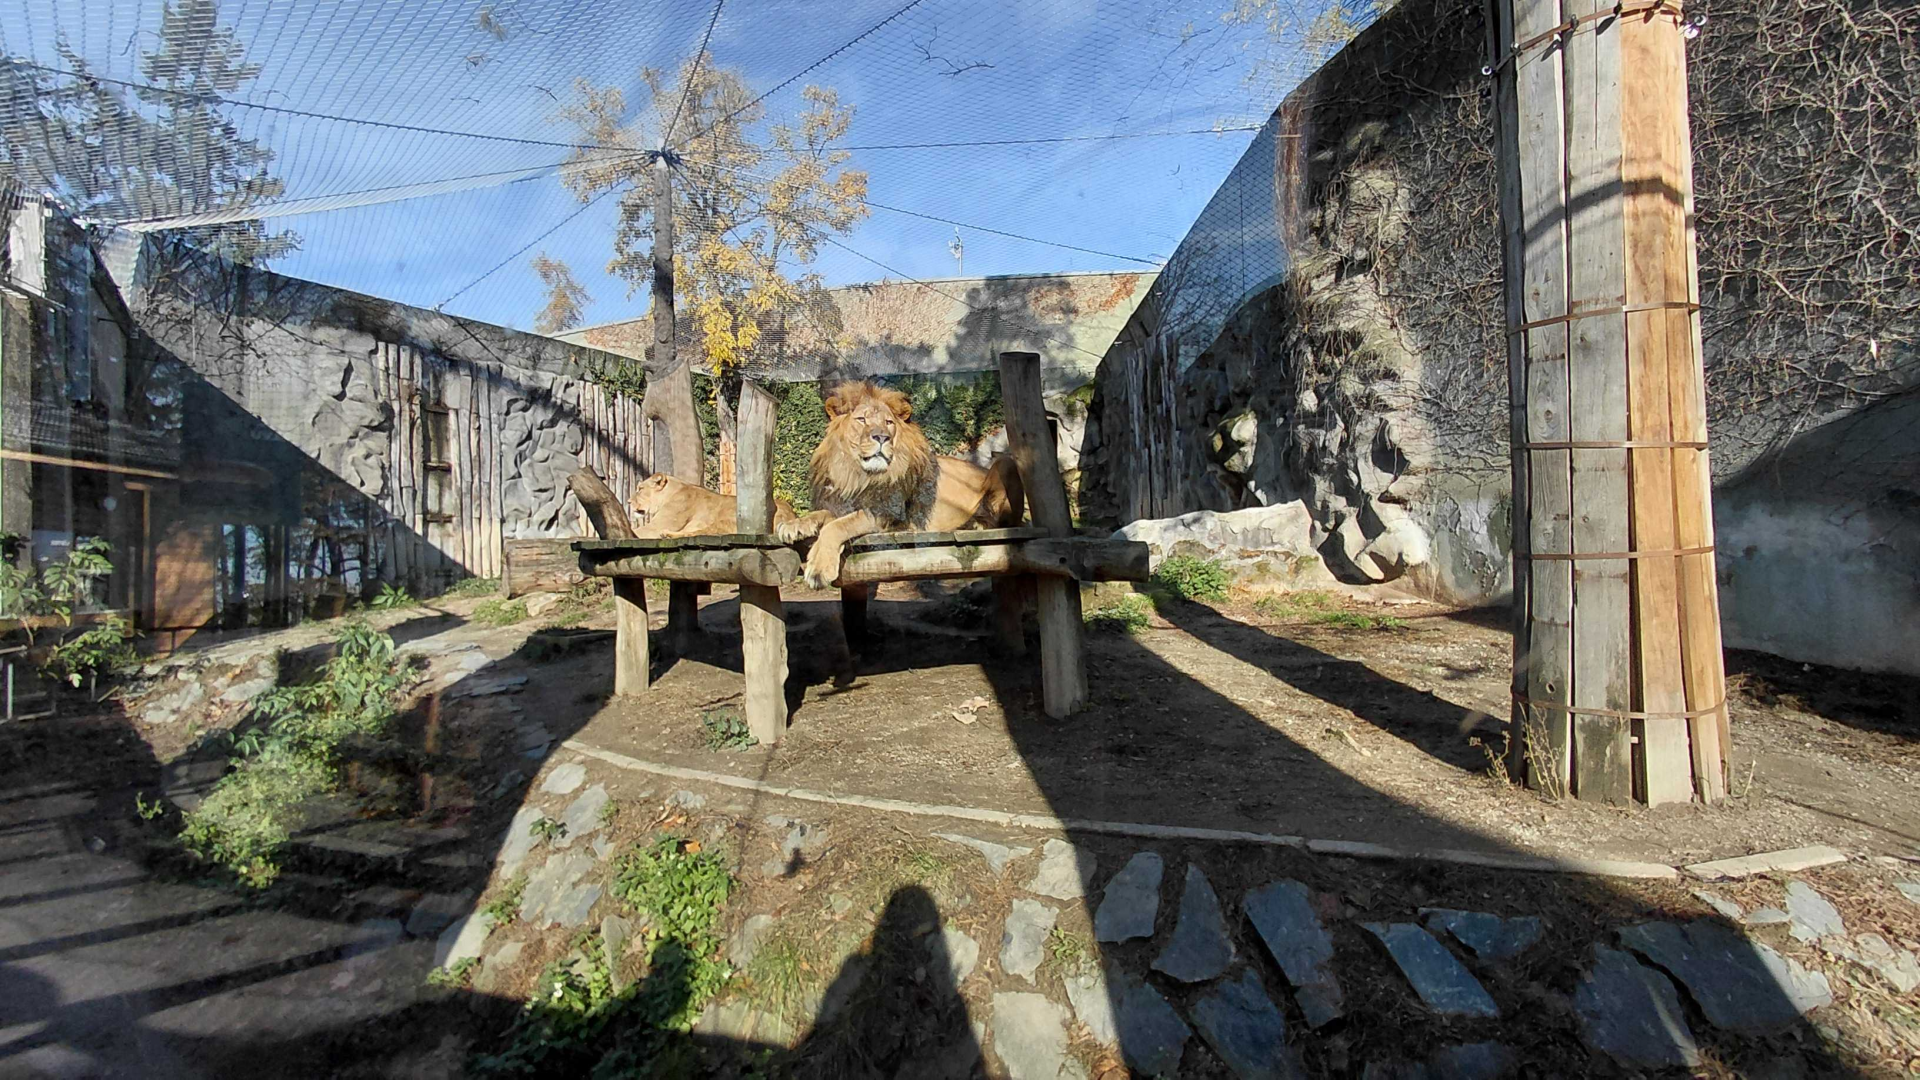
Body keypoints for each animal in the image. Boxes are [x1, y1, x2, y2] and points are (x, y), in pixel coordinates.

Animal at [627, 473, 798, 538]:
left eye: (640, 489)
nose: (628, 502)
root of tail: (792, 514)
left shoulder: (658, 525)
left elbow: (639, 531)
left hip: (724, 521)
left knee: (699, 534)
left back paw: (667, 535)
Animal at [775, 381, 1025, 589]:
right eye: (862, 420)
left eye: (888, 423)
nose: (881, 437)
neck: (859, 475)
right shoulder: (843, 504)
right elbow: (823, 515)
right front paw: (794, 525)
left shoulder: (887, 513)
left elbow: (839, 526)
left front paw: (818, 570)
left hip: (1005, 462)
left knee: (1006, 520)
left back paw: (974, 524)